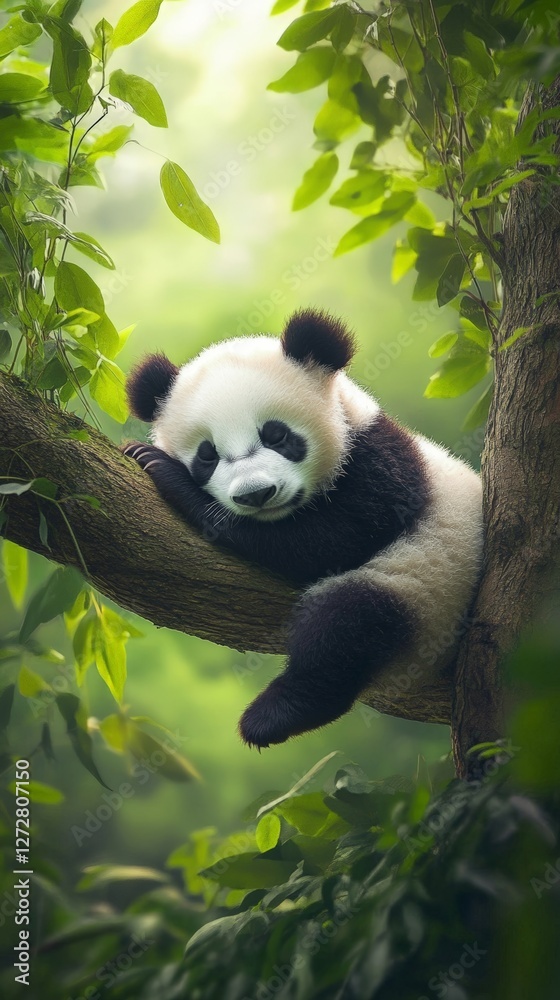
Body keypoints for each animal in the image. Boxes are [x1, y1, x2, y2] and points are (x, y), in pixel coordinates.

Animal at [123, 309, 483, 749]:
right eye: (207, 455)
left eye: (276, 434)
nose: (256, 494)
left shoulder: (382, 466)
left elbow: (327, 540)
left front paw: (162, 470)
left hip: (426, 585)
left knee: (347, 627)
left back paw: (273, 716)